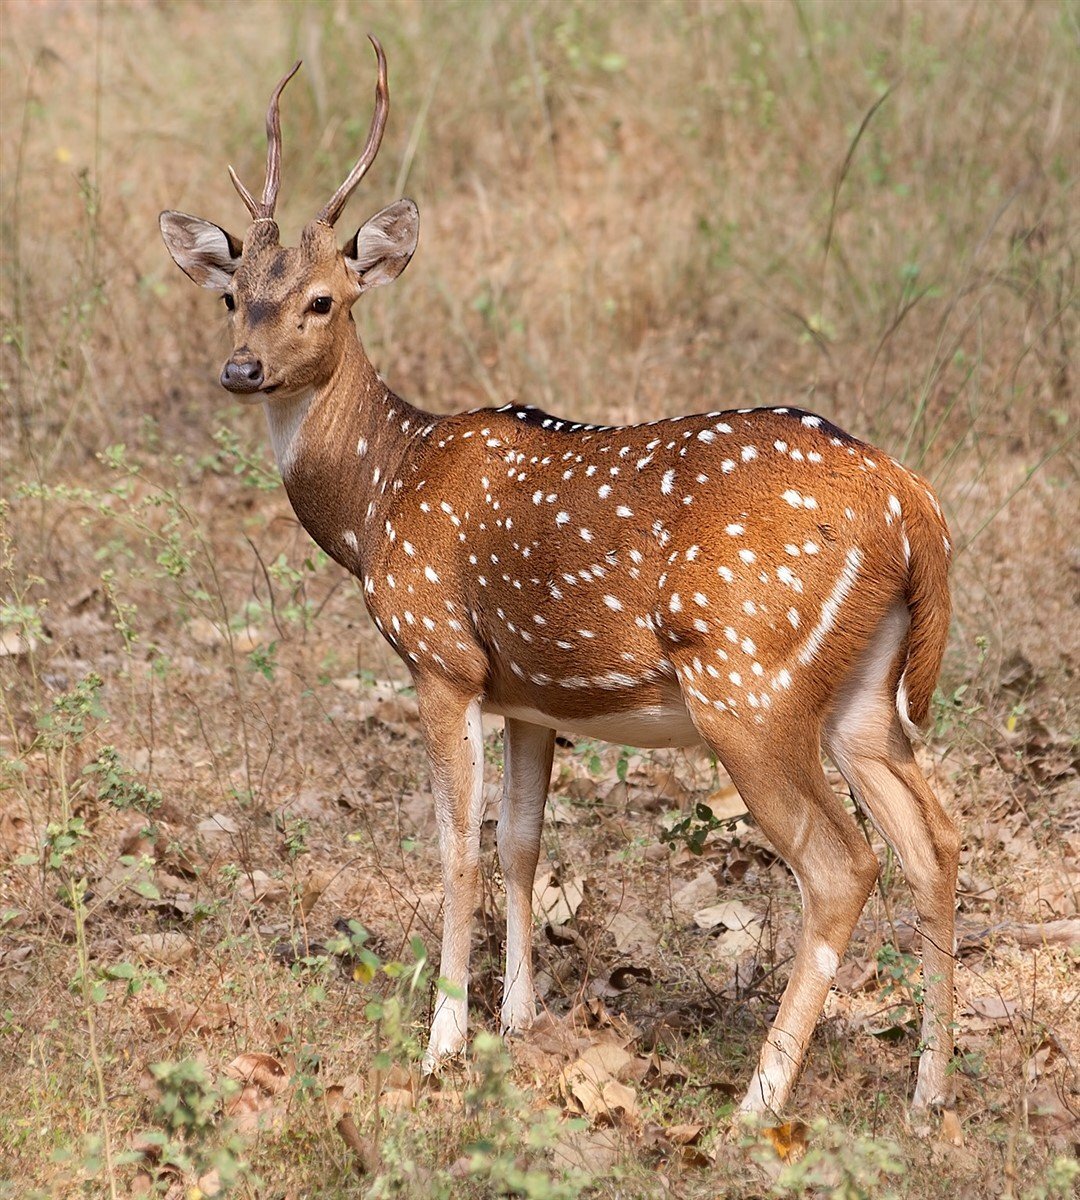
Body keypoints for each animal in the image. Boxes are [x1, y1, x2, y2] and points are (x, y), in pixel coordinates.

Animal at [162, 39, 960, 1123]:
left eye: (324, 299)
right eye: (230, 294)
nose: (243, 369)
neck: (383, 495)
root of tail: (910, 502)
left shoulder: (442, 658)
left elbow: (456, 847)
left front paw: (445, 1043)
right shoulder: (530, 696)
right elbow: (523, 842)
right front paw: (518, 1020)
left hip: (750, 682)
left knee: (844, 863)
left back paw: (759, 1102)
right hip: (866, 693)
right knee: (936, 840)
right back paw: (928, 1094)